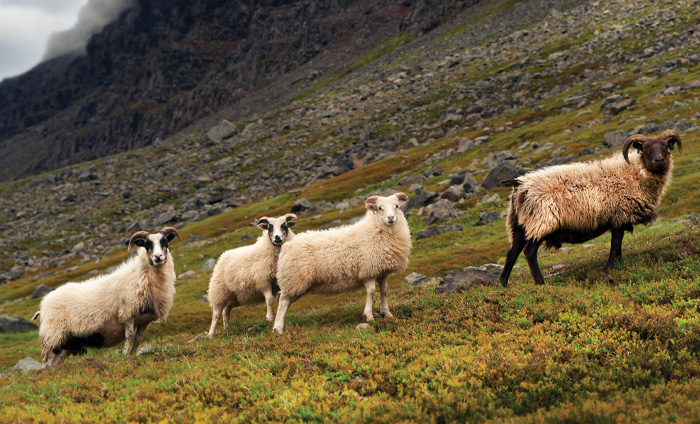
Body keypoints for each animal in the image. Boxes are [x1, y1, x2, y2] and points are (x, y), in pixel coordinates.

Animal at [33, 227, 182, 366]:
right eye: (147, 245)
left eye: (165, 243)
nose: (158, 256)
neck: (139, 276)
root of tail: (43, 305)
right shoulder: (128, 314)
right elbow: (129, 336)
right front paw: (125, 354)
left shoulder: (145, 320)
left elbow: (138, 339)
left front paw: (133, 354)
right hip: (54, 336)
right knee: (46, 362)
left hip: (67, 342)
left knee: (56, 361)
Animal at [272, 192, 410, 334]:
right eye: (380, 208)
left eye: (397, 206)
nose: (391, 217)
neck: (376, 229)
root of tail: (287, 245)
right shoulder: (368, 270)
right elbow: (371, 292)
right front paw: (369, 316)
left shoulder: (381, 271)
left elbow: (384, 290)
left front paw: (387, 313)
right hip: (293, 279)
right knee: (283, 301)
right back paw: (278, 328)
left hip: (293, 281)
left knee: (286, 302)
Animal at [500, 131, 680, 286]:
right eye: (645, 149)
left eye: (666, 147)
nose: (659, 160)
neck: (634, 174)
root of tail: (520, 184)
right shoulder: (618, 216)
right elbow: (615, 244)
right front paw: (609, 268)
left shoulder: (620, 219)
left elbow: (619, 244)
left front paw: (620, 263)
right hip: (541, 222)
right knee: (529, 252)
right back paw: (540, 283)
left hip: (520, 225)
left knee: (512, 253)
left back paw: (503, 284)